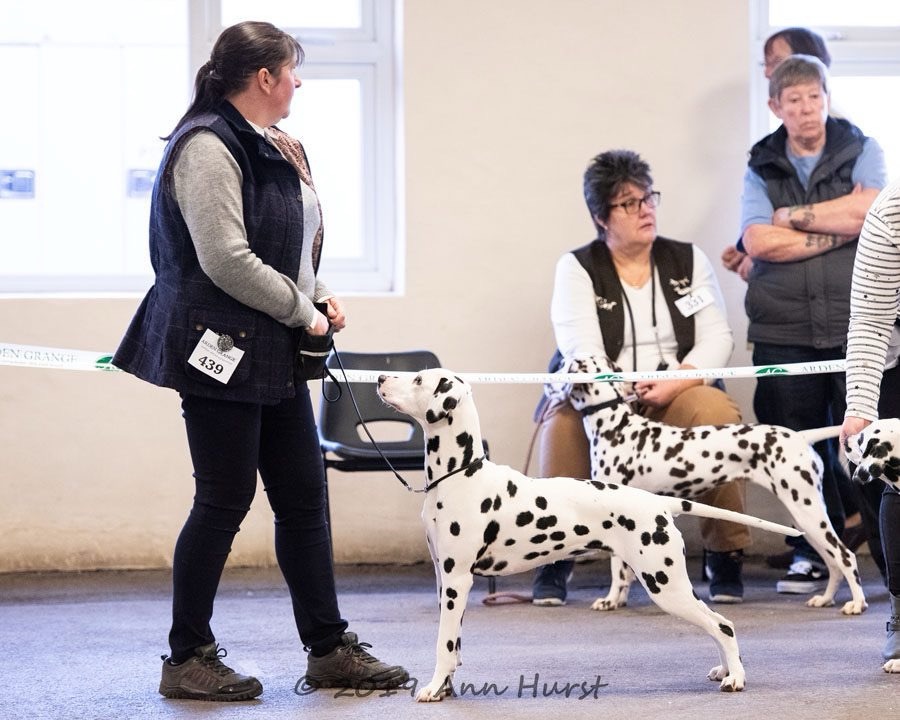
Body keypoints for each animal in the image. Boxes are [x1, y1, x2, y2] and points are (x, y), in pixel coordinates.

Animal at [376, 368, 803, 699]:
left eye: (418, 379)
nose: (380, 378)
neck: (459, 475)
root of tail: (661, 504)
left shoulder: (458, 580)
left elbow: (443, 643)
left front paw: (433, 688)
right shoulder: (444, 578)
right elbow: (455, 644)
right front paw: (446, 686)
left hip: (666, 585)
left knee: (723, 625)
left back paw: (736, 678)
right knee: (716, 625)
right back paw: (725, 670)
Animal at [562, 356, 866, 616]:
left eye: (571, 360)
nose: (560, 361)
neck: (616, 428)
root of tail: (800, 437)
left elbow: (617, 570)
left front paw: (610, 600)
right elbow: (625, 572)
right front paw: (620, 598)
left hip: (808, 512)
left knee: (846, 556)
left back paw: (857, 603)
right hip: (805, 519)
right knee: (833, 561)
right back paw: (825, 599)